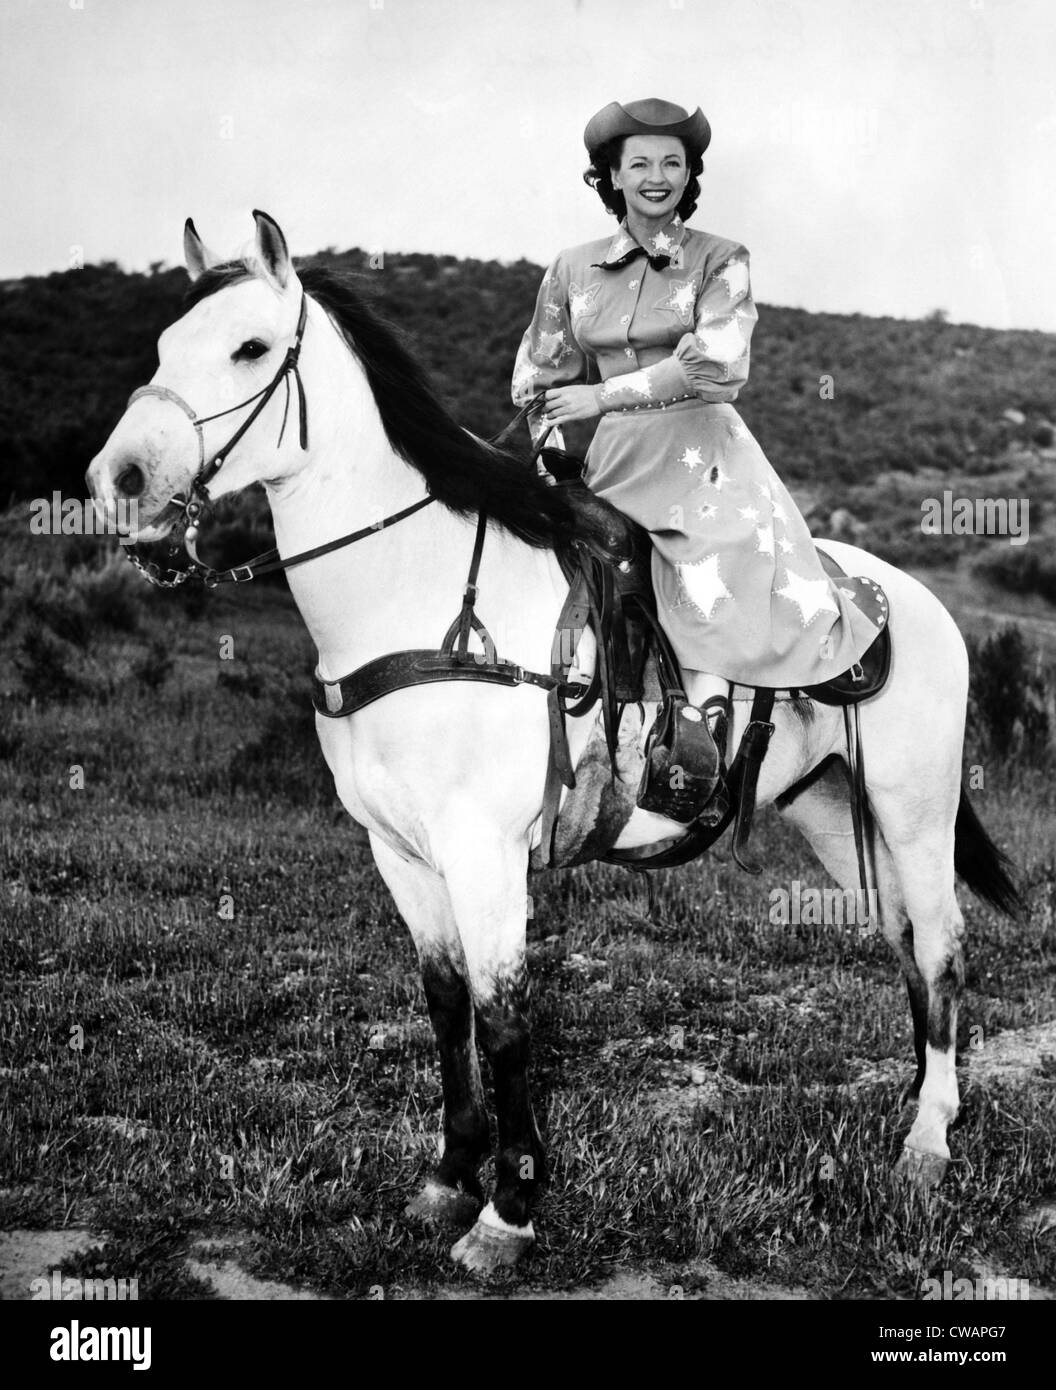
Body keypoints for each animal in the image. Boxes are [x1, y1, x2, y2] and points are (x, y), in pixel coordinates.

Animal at [86, 211, 1020, 1276]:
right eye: (164, 345)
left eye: (248, 347)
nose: (117, 482)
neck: (425, 601)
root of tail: (912, 600)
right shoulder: (400, 853)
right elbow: (447, 1003)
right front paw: (447, 1178)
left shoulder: (484, 852)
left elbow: (504, 1019)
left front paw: (509, 1210)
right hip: (829, 810)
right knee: (903, 942)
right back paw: (917, 1101)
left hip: (914, 811)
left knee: (942, 946)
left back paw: (929, 1142)